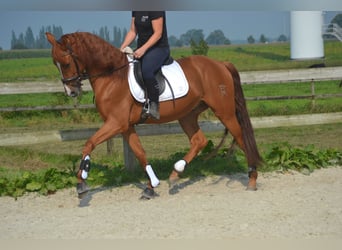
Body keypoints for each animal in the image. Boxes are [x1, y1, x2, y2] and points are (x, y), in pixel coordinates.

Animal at [46, 31, 262, 199]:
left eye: (66, 63)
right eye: (55, 64)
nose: (71, 92)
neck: (113, 76)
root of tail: (220, 64)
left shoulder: (115, 123)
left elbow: (89, 143)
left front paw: (81, 181)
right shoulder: (126, 126)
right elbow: (140, 153)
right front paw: (151, 186)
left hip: (224, 112)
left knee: (241, 137)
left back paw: (252, 179)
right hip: (187, 114)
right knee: (199, 141)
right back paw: (175, 173)